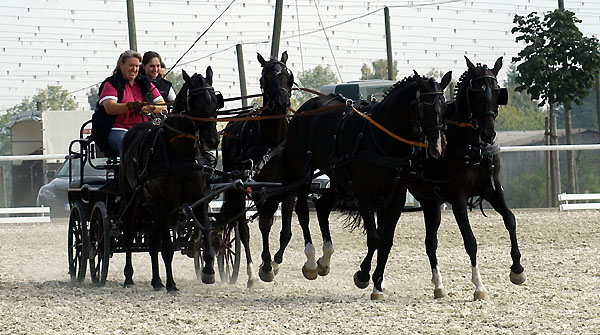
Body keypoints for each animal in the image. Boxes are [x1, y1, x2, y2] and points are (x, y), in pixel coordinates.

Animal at [118, 67, 219, 292]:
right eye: (196, 102)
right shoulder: (165, 204)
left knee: (153, 242)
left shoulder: (199, 199)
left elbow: (206, 232)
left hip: (155, 207)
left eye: (216, 101)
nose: (212, 140)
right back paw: (129, 276)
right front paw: (171, 284)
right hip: (133, 198)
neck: (180, 153)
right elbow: (167, 249)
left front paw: (208, 270)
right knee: (129, 233)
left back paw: (156, 281)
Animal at [220, 51, 296, 288]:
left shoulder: (286, 188)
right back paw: (252, 273)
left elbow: (285, 232)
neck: (274, 142)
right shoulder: (260, 188)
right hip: (237, 187)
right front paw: (265, 267)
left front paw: (275, 263)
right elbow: (263, 224)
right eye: (265, 78)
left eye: (288, 76)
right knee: (243, 230)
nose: (282, 103)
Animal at [282, 70, 450, 300]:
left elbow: (386, 242)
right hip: (304, 171)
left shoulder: (395, 198)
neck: (382, 137)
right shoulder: (365, 194)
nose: (437, 148)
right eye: (424, 106)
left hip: (337, 178)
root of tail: (306, 107)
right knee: (302, 211)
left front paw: (377, 283)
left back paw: (325, 260)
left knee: (323, 207)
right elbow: (374, 239)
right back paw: (310, 262)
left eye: (444, 107)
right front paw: (363, 275)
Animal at [408, 55, 524, 302]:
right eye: (476, 93)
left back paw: (438, 285)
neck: (470, 144)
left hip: (431, 203)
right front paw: (479, 286)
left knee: (430, 243)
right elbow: (470, 241)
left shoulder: (492, 189)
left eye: (497, 91)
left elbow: (510, 220)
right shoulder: (458, 197)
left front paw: (517, 270)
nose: (488, 133)